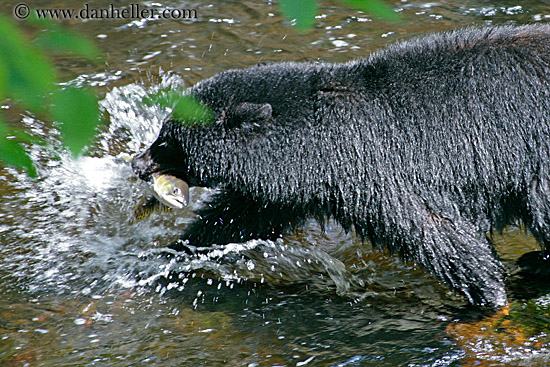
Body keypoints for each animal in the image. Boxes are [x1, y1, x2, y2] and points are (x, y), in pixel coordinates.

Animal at [133, 24, 550, 310]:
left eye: (166, 141)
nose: (137, 163)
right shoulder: (290, 185)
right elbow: (235, 217)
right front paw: (167, 256)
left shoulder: (381, 172)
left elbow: (438, 231)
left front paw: (491, 297)